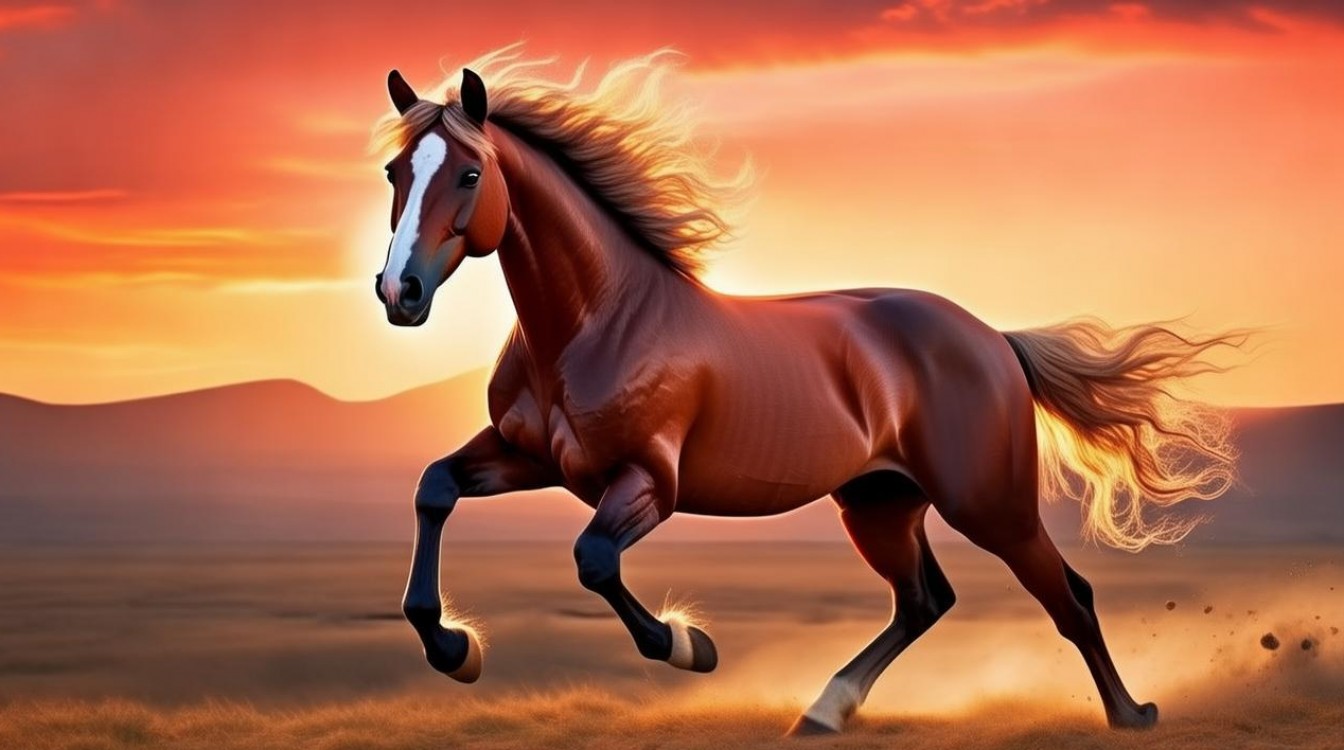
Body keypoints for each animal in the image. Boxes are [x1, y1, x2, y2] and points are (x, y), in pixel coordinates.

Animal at [369, 48, 1240, 734]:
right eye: (394, 172)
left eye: (470, 173)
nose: (398, 292)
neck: (598, 322)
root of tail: (994, 340)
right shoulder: (532, 459)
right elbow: (432, 490)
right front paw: (456, 650)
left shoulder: (649, 482)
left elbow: (593, 561)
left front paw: (692, 646)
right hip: (879, 502)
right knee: (923, 600)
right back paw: (824, 711)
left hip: (989, 503)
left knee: (1069, 595)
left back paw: (1130, 715)